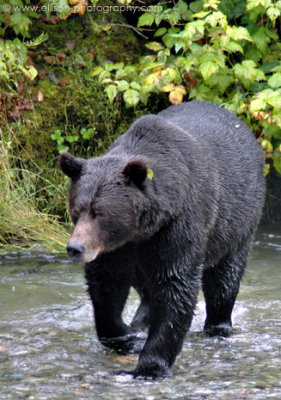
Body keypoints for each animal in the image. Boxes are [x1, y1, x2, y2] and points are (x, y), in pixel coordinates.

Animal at [59, 101, 264, 378]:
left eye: (100, 212)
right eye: (76, 209)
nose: (75, 248)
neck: (140, 230)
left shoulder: (178, 227)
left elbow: (175, 285)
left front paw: (151, 365)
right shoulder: (116, 248)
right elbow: (106, 286)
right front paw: (125, 337)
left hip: (237, 224)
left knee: (224, 279)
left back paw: (218, 327)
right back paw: (140, 322)